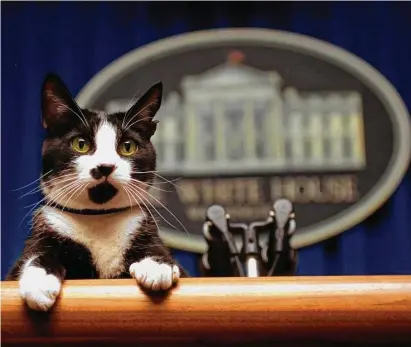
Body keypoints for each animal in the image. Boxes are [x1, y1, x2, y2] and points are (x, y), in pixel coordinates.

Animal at [6, 73, 187, 312]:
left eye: (127, 146)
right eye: (80, 144)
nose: (105, 166)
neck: (99, 219)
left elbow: (159, 251)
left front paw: (156, 266)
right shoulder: (45, 230)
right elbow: (36, 254)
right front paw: (39, 282)